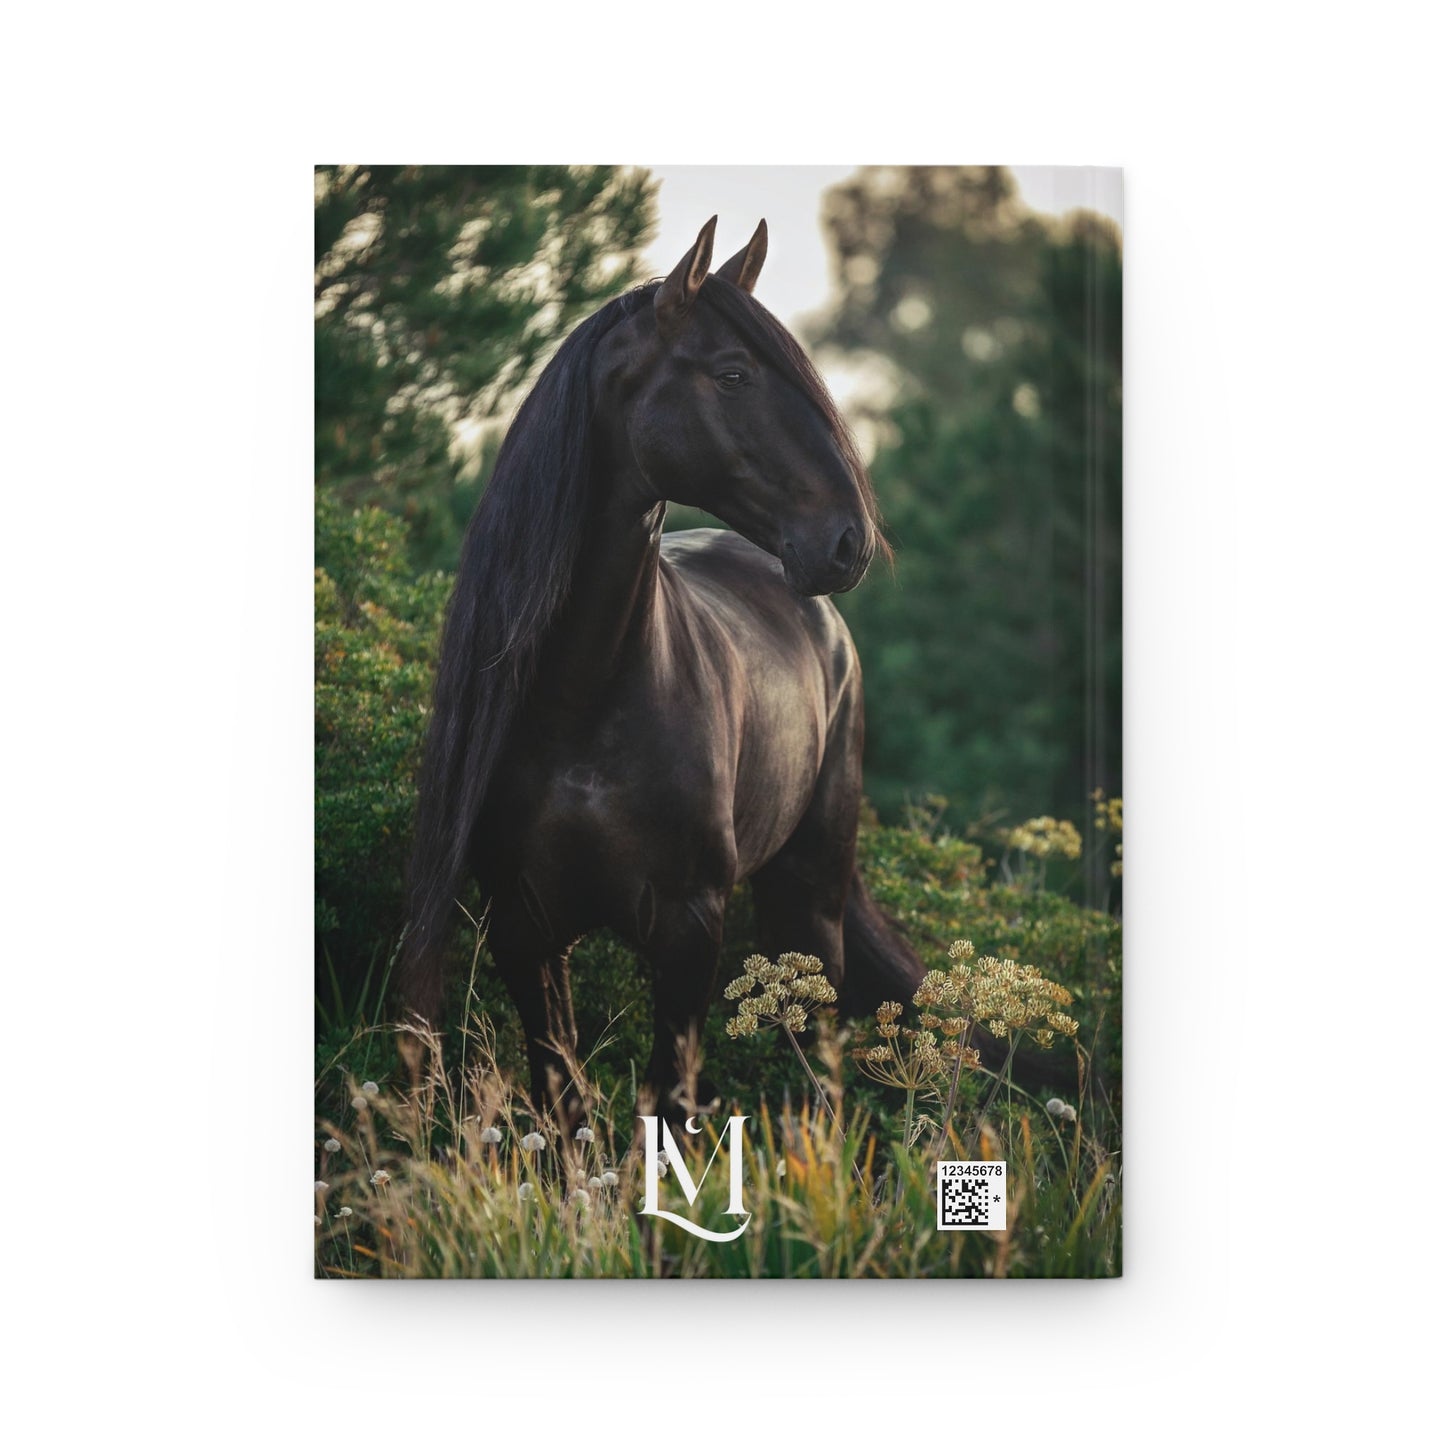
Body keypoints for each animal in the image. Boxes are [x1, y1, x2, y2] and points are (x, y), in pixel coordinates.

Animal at [400, 216, 926, 1123]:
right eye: (732, 373)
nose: (847, 542)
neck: (582, 701)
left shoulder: (688, 927)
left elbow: (672, 1101)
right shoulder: (523, 928)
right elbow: (562, 1098)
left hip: (809, 894)